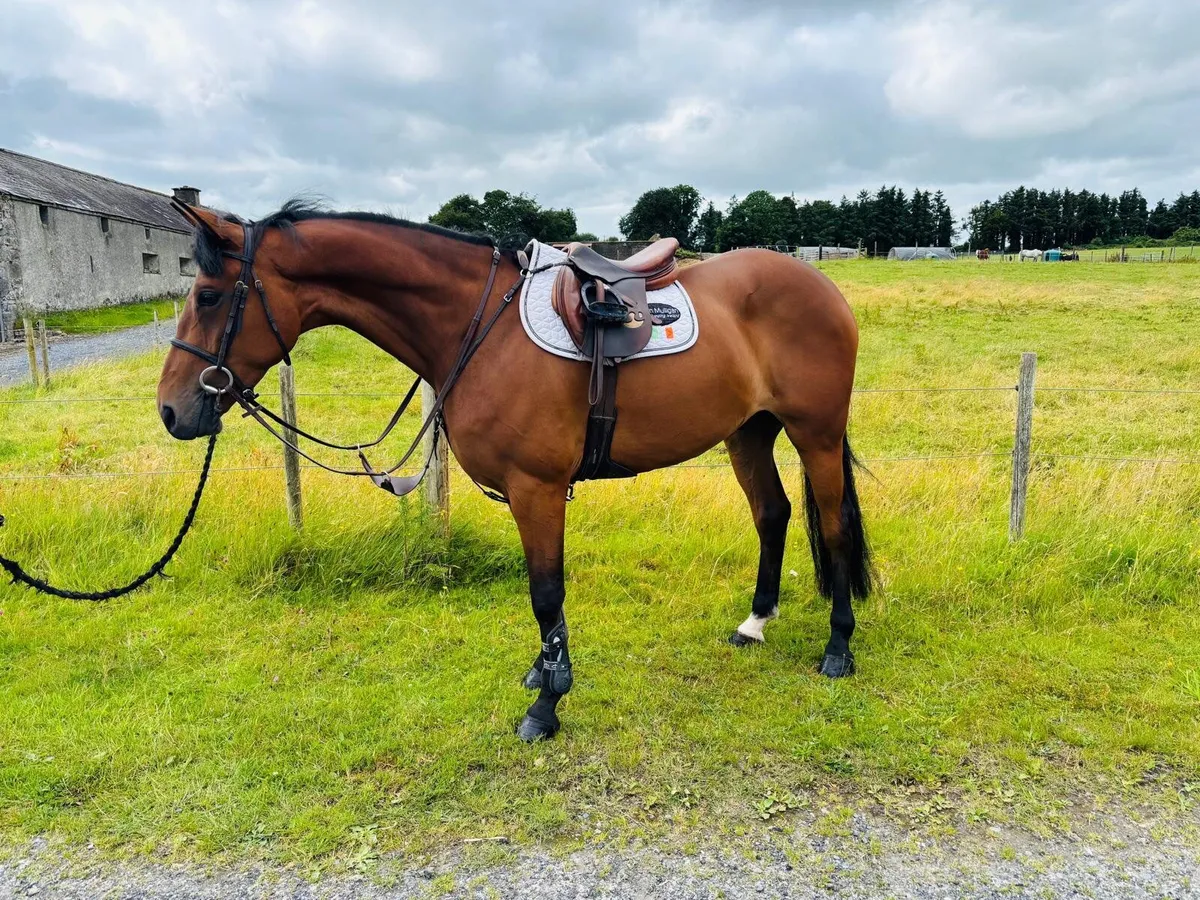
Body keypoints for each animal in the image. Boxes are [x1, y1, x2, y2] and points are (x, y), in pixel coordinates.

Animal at [156, 200, 872, 742]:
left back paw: (838, 649)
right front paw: (542, 675)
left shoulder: (538, 489)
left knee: (835, 525)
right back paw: (755, 623)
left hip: (815, 434)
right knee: (773, 514)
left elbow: (545, 594)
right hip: (749, 432)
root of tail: (820, 286)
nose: (171, 409)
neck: (476, 327)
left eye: (210, 296)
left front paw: (547, 702)